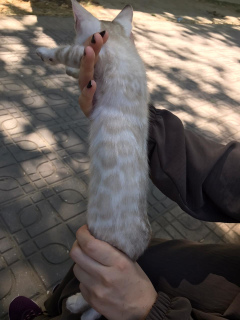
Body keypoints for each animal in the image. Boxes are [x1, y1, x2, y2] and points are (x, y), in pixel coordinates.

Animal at [35, 1, 151, 318]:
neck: (121, 42)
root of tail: (136, 252)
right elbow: (74, 65)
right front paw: (66, 71)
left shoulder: (92, 54)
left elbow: (68, 51)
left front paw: (45, 52)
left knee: (96, 302)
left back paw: (76, 302)